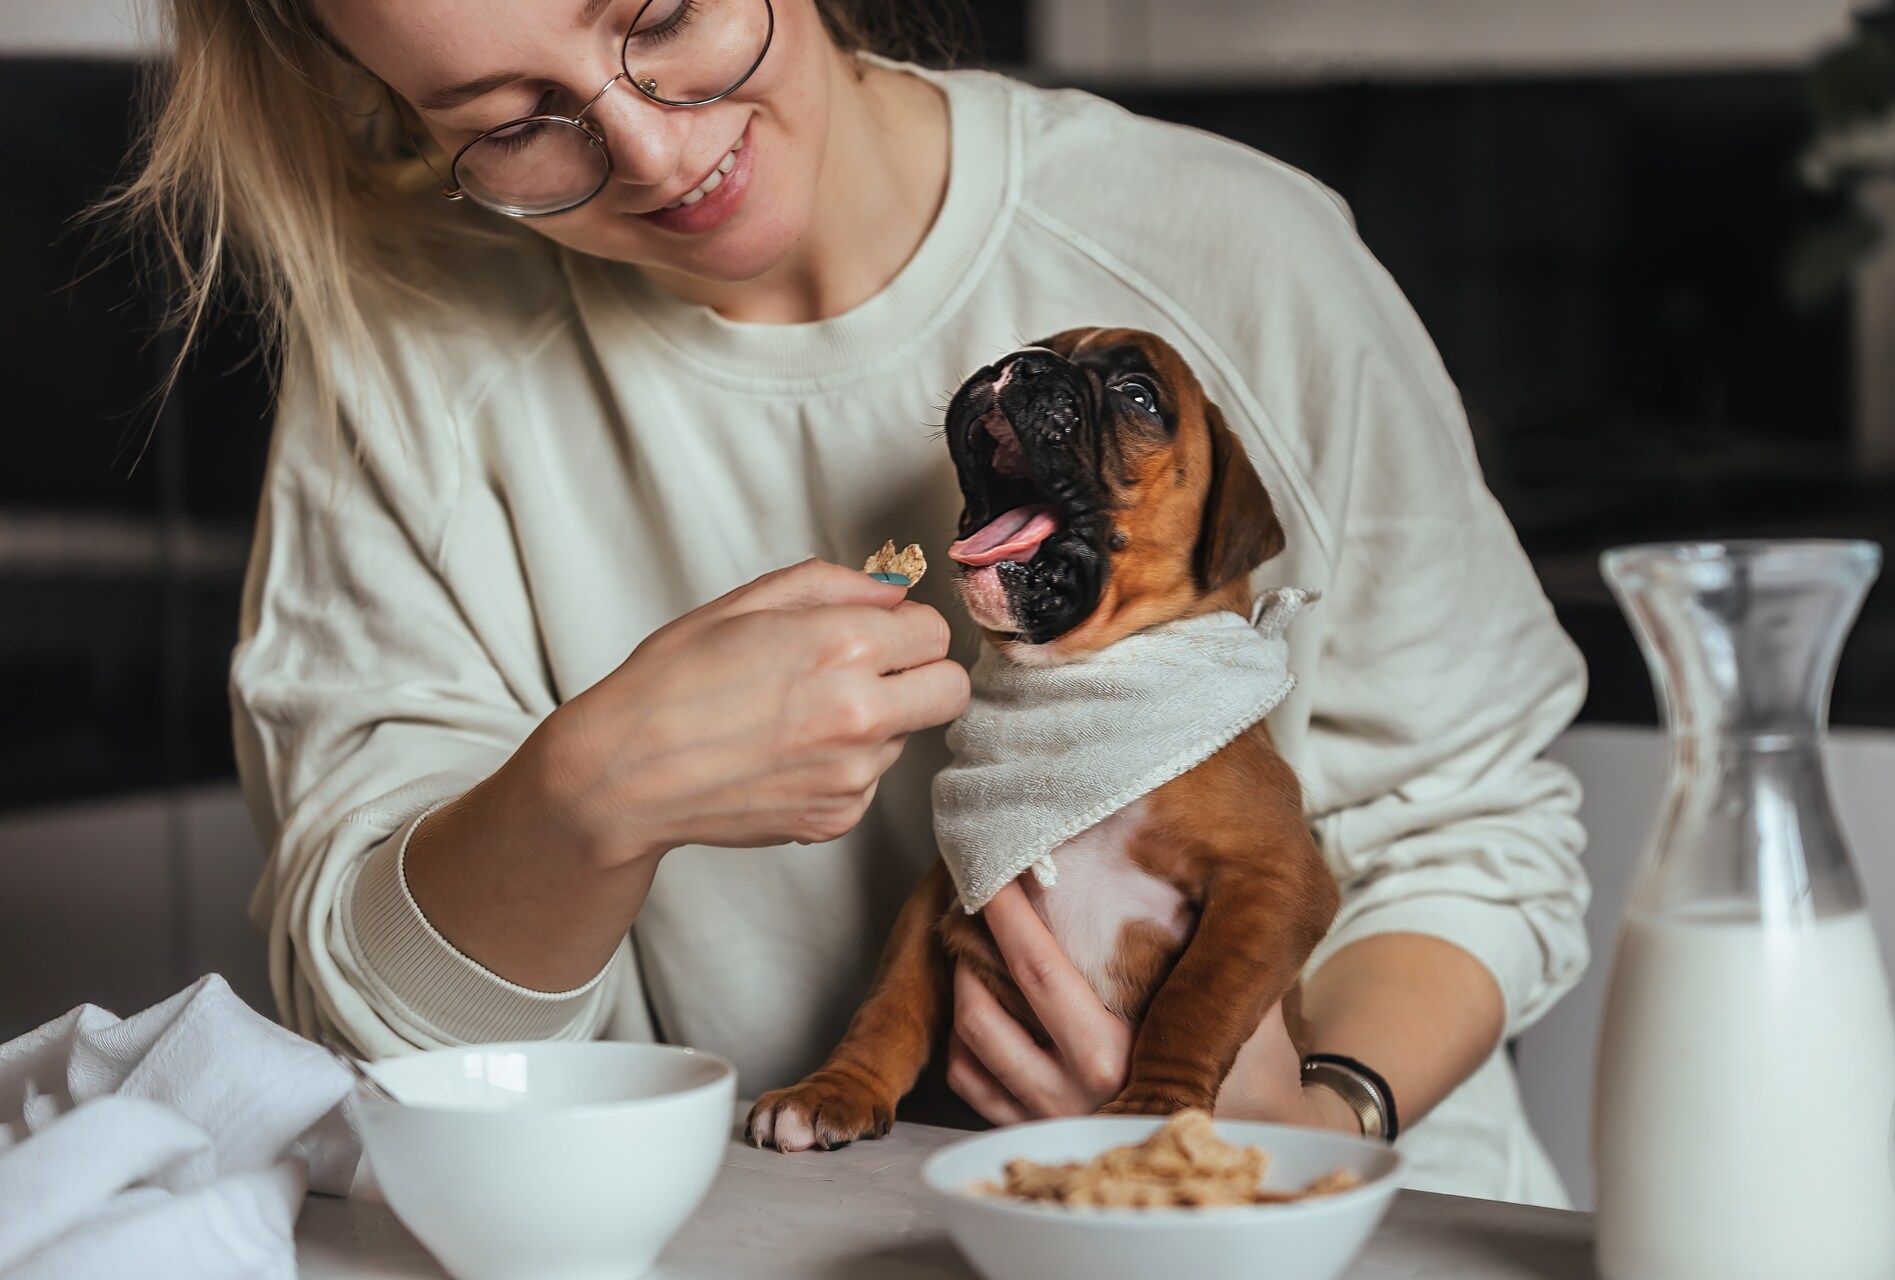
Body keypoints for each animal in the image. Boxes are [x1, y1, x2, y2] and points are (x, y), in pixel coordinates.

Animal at [746, 328, 1341, 1152]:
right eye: (1037, 348)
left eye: (1138, 395)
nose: (1018, 365)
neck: (1072, 676)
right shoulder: (950, 884)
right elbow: (890, 999)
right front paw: (836, 1088)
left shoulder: (1274, 882)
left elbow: (1196, 998)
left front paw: (1156, 1104)